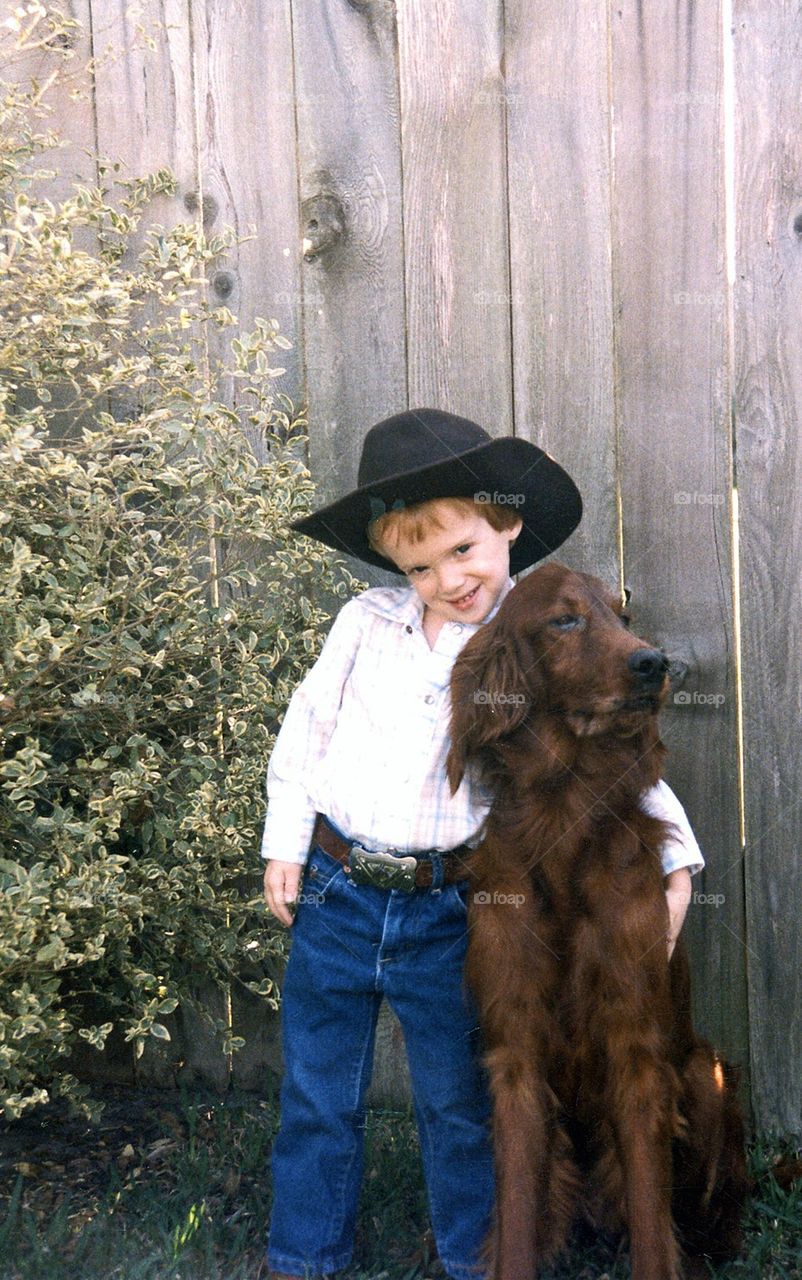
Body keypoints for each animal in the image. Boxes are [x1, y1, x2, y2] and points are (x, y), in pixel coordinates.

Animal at [447, 563, 752, 1280]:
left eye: (623, 616)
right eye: (564, 619)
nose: (653, 663)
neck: (564, 811)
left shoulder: (636, 1049)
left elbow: (649, 1213)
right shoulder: (516, 1051)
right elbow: (516, 1211)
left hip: (703, 1073)